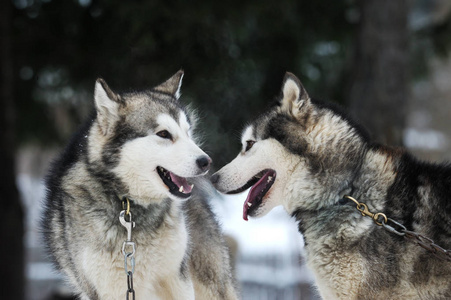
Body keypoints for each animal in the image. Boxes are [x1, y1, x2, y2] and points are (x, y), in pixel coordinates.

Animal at [42, 72, 238, 300]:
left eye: (187, 133)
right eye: (163, 134)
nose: (206, 161)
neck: (129, 205)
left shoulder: (177, 279)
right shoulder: (110, 288)